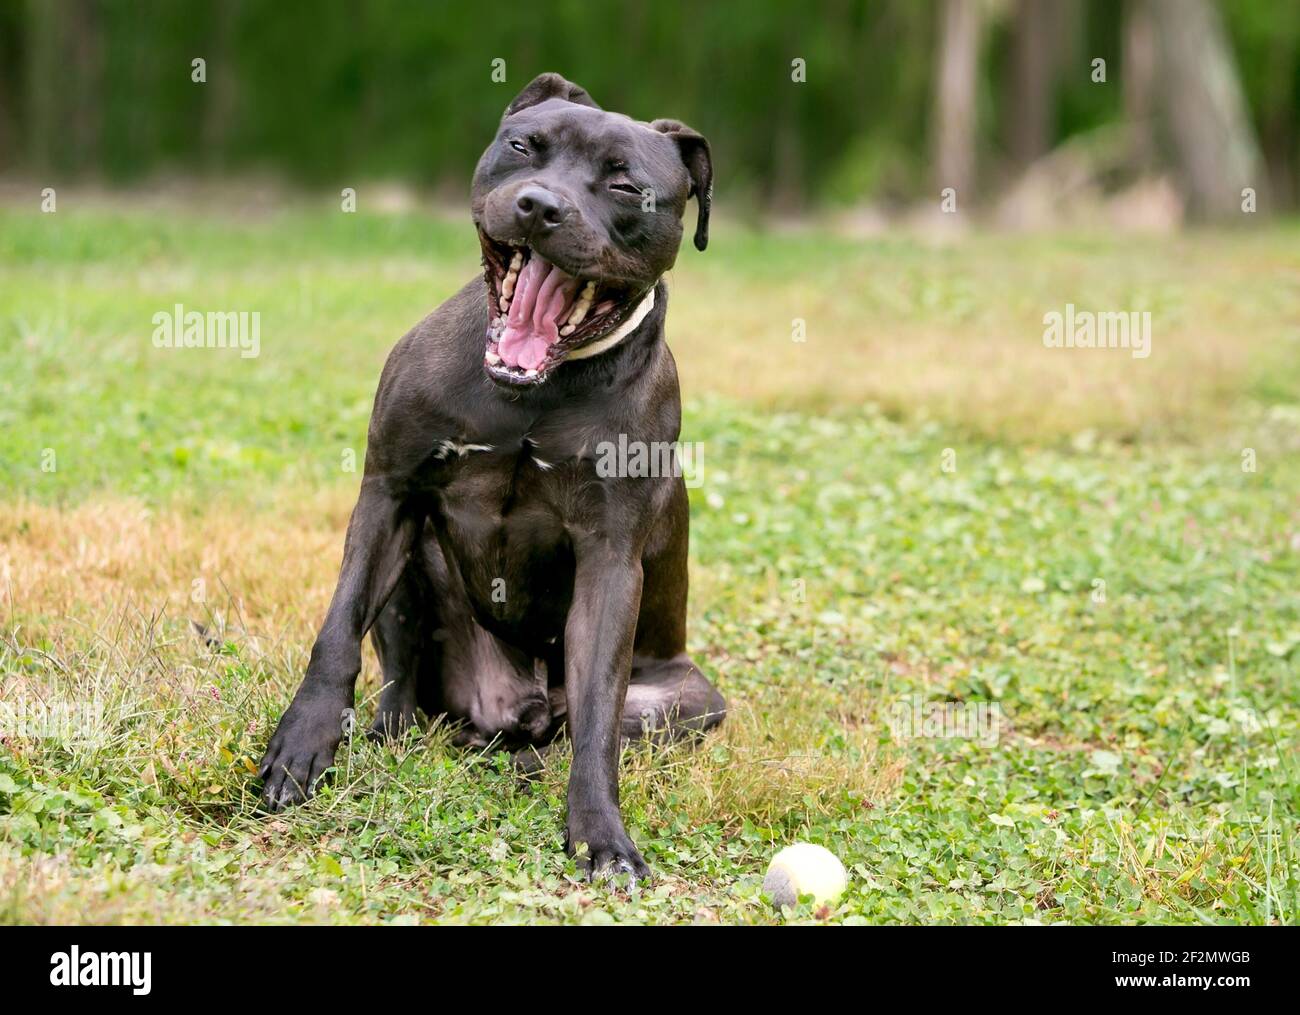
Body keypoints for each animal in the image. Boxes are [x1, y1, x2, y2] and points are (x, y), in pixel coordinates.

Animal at [256, 73, 722, 878]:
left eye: (626, 184)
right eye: (523, 146)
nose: (540, 205)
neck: (533, 390)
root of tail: (511, 708)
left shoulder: (610, 559)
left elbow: (598, 714)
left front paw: (600, 833)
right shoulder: (388, 493)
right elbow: (337, 631)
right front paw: (302, 741)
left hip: (688, 697)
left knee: (572, 728)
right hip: (416, 563)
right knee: (403, 683)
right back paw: (389, 737)